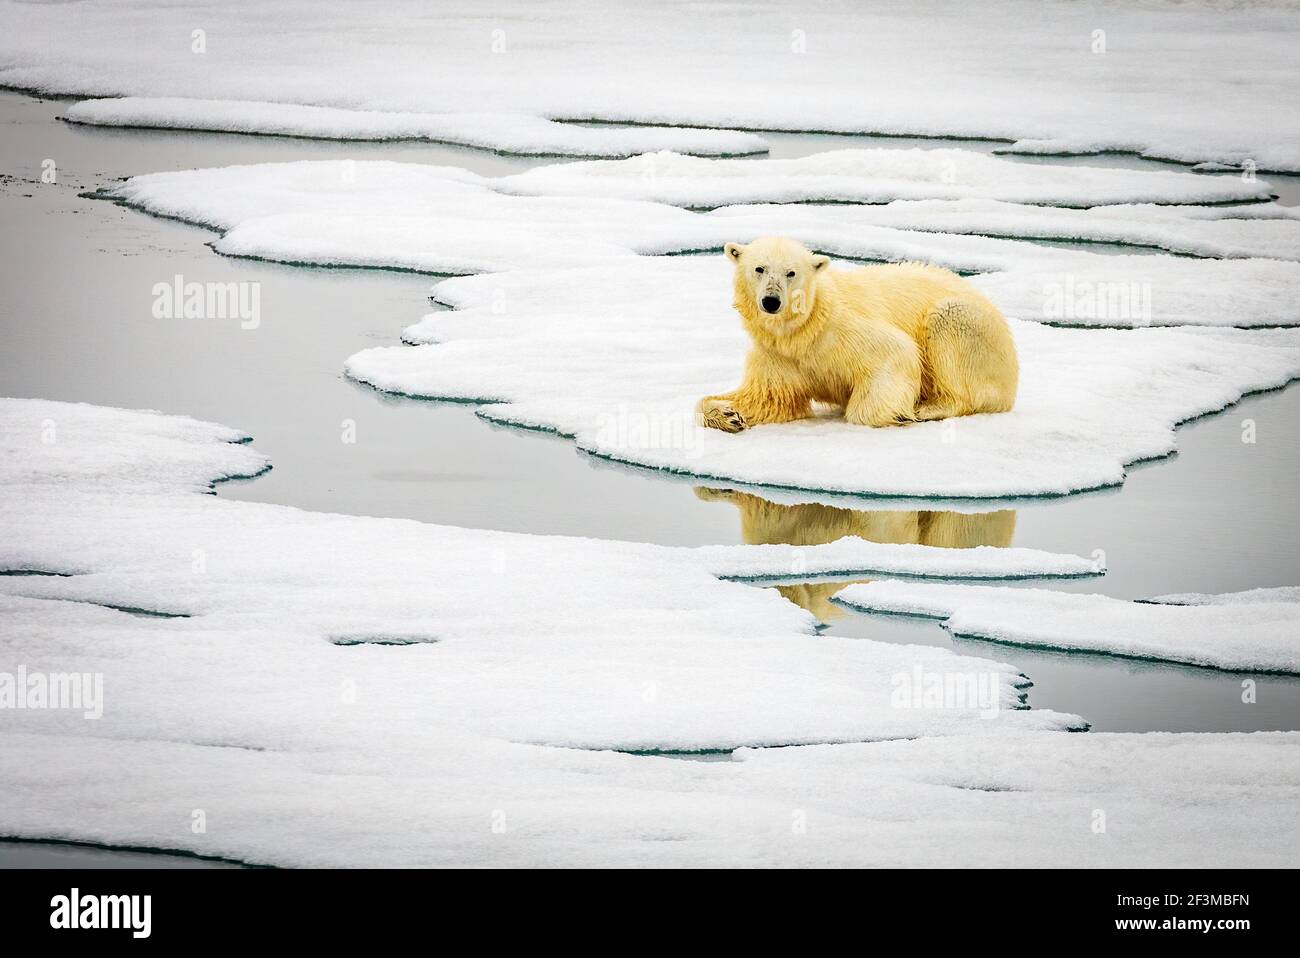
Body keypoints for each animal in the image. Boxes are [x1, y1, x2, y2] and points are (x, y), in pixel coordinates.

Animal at [702, 237, 1013, 431]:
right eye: (759, 268)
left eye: (791, 273)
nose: (771, 301)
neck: (803, 330)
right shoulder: (778, 354)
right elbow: (769, 398)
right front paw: (728, 415)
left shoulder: (840, 330)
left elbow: (894, 350)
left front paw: (898, 413)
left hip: (975, 328)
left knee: (947, 321)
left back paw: (929, 407)